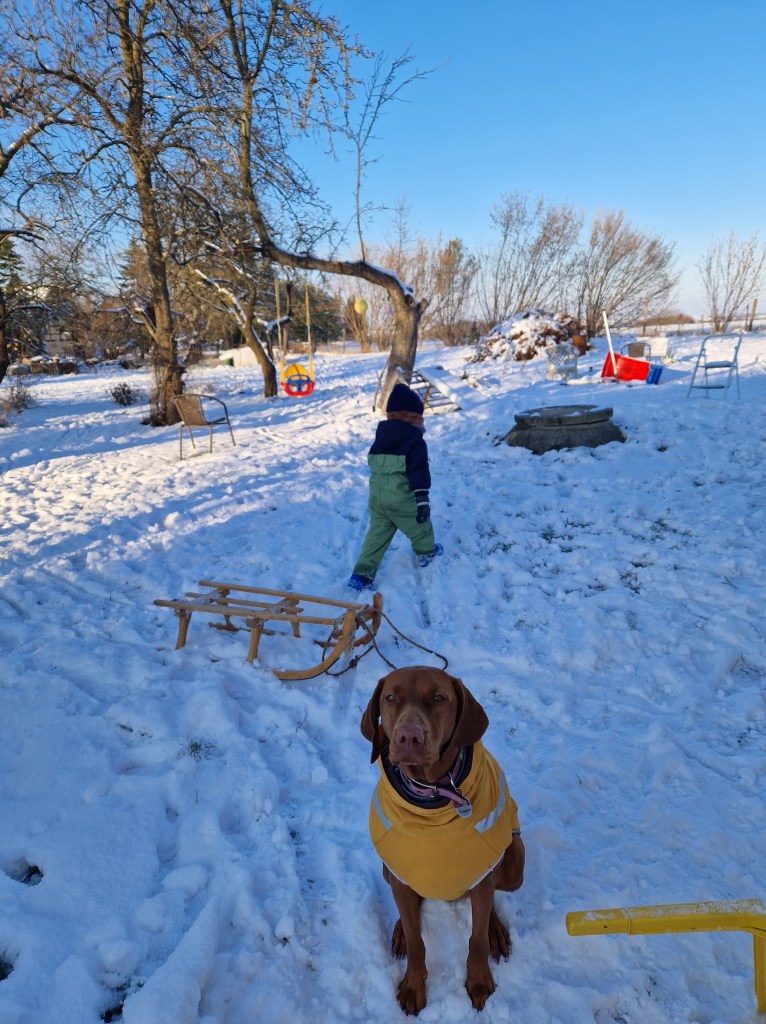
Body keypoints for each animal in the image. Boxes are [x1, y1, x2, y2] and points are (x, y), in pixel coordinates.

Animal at [360, 666, 525, 1015]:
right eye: (390, 697)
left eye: (439, 698)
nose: (409, 736)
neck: (433, 797)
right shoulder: (400, 875)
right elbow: (416, 939)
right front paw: (413, 985)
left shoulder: (481, 877)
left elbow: (476, 938)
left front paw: (479, 982)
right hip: (387, 871)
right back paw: (400, 930)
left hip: (516, 859)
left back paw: (495, 929)